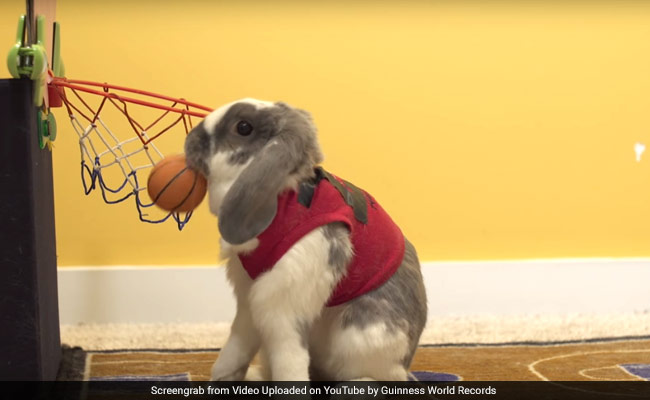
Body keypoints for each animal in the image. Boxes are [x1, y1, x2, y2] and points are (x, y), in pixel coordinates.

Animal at [184, 98, 427, 382]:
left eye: (243, 127)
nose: (191, 140)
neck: (283, 199)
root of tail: (404, 366)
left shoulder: (283, 304)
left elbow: (289, 356)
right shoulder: (249, 298)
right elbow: (238, 342)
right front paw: (223, 378)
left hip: (360, 340)